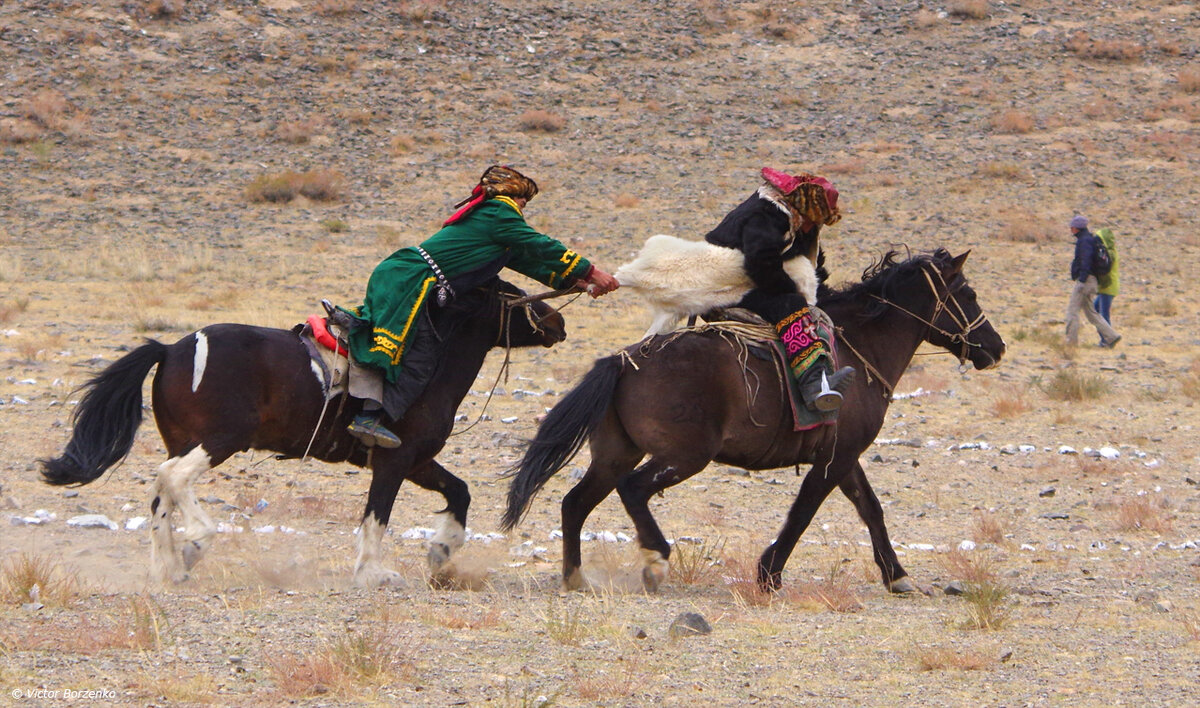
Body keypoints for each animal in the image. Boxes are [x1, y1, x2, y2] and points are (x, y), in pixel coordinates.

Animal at [43, 282, 566, 588]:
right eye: (515, 294)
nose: (558, 322)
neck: (429, 365)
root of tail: (171, 349)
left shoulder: (417, 460)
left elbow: (459, 490)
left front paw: (441, 550)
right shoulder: (394, 461)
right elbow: (377, 516)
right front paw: (374, 572)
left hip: (188, 440)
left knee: (161, 489)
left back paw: (166, 566)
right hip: (219, 440)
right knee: (172, 477)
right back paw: (195, 542)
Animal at [504, 249, 1003, 592]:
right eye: (968, 293)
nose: (996, 348)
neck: (858, 348)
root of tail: (624, 361)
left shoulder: (844, 457)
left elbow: (870, 509)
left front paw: (896, 575)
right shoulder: (834, 459)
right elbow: (803, 513)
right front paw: (768, 573)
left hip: (615, 454)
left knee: (575, 503)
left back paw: (575, 578)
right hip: (682, 456)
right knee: (632, 491)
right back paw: (656, 559)